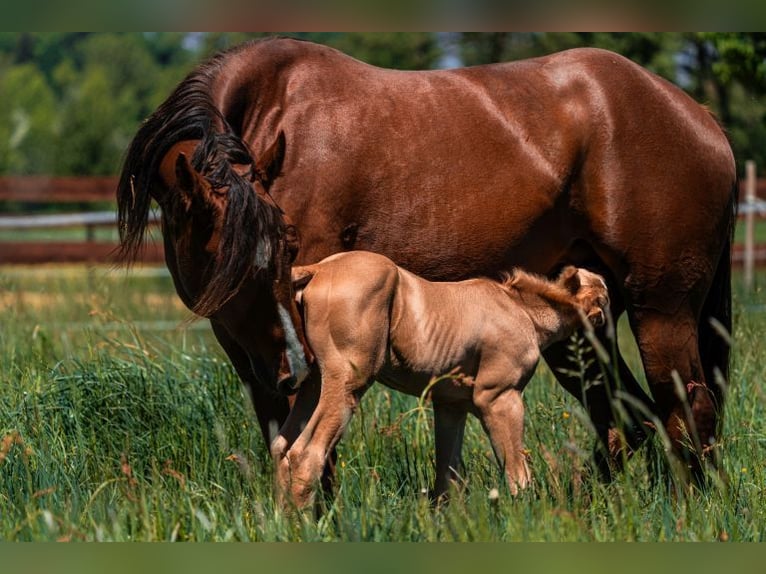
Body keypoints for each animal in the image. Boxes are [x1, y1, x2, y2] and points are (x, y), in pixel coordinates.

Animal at [271, 251, 610, 508]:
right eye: (604, 296)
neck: (521, 309)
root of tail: (318, 269)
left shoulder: (450, 407)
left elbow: (447, 479)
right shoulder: (499, 398)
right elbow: (518, 475)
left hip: (316, 382)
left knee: (281, 448)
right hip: (348, 384)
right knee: (305, 455)